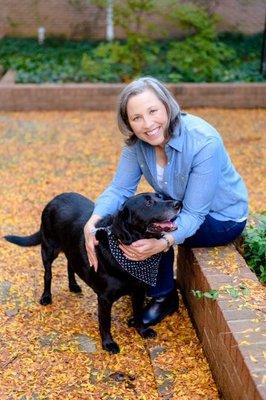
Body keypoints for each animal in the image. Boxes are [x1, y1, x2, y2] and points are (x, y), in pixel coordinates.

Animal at [5, 193, 181, 354]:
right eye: (149, 203)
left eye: (160, 197)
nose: (178, 203)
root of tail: (55, 198)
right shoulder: (104, 299)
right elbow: (105, 322)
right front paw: (108, 343)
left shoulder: (138, 291)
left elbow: (138, 313)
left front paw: (142, 330)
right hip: (49, 249)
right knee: (47, 274)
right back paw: (46, 297)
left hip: (71, 249)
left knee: (70, 264)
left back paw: (73, 286)